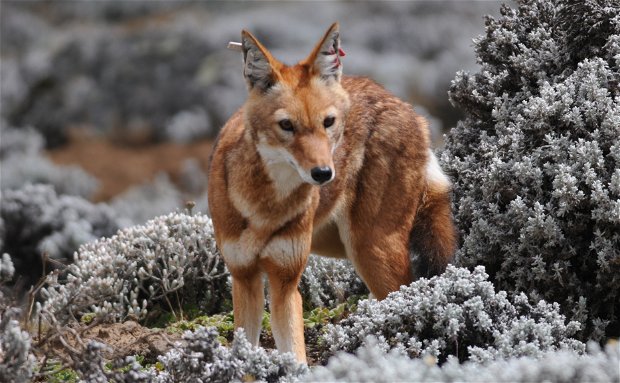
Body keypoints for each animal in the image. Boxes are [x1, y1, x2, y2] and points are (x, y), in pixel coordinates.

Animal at [208, 22, 456, 364]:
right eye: (286, 126)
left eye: (328, 122)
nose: (324, 173)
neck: (265, 209)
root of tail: (412, 111)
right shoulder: (244, 278)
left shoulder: (286, 283)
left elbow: (296, 357)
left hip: (372, 253)